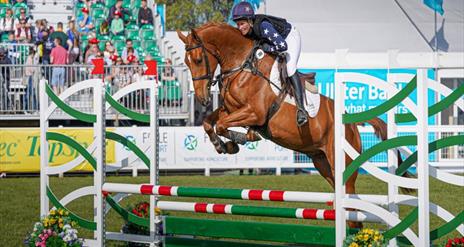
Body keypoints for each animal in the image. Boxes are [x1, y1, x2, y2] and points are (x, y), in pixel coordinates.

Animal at [178, 22, 410, 228]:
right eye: (186, 63)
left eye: (198, 59)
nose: (203, 98)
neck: (242, 66)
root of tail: (350, 123)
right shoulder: (229, 109)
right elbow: (209, 123)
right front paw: (223, 145)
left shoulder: (254, 113)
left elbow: (221, 125)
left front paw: (238, 140)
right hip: (322, 163)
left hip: (343, 165)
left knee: (352, 203)